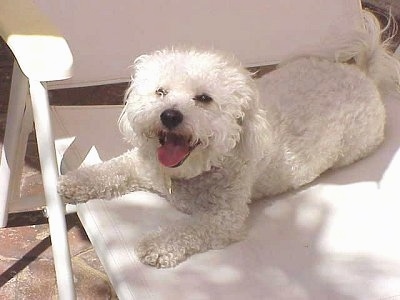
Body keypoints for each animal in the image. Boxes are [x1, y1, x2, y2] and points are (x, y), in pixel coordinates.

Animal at [59, 11, 400, 268]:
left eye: (204, 98)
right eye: (161, 92)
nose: (169, 116)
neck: (189, 174)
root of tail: (363, 73)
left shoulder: (224, 218)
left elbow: (187, 230)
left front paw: (156, 245)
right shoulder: (138, 164)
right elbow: (106, 169)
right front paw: (73, 182)